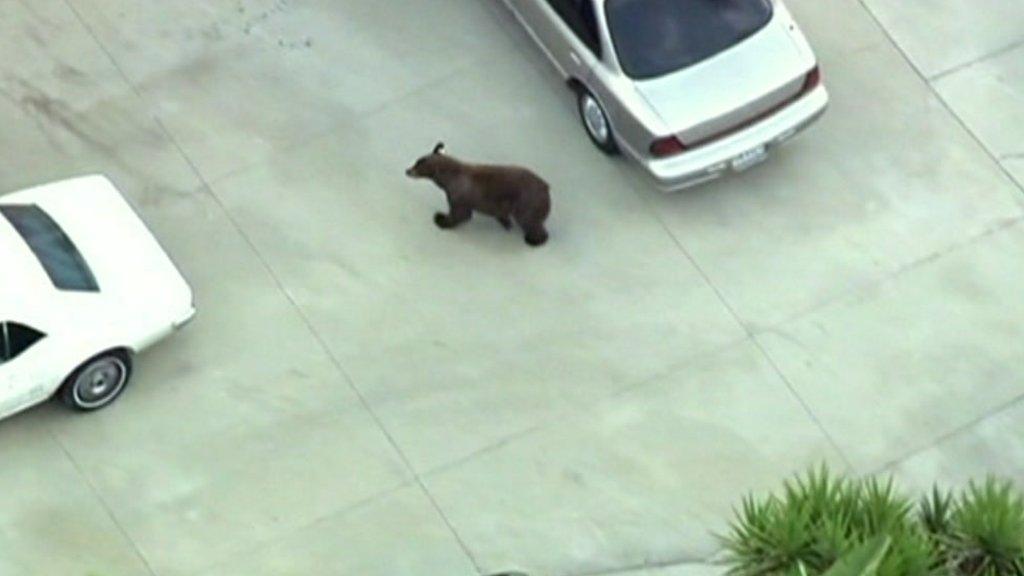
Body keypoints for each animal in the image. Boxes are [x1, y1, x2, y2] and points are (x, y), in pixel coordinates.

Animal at [405, 142, 552, 245]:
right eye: (416, 161)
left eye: (417, 165)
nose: (407, 170)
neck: (449, 178)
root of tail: (546, 187)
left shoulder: (460, 195)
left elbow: (461, 213)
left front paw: (441, 219)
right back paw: (504, 221)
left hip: (528, 204)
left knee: (530, 222)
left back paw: (533, 240)